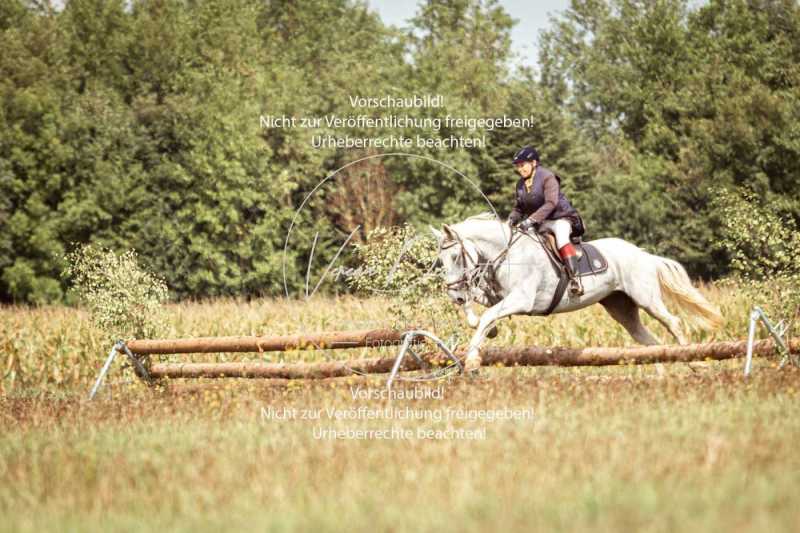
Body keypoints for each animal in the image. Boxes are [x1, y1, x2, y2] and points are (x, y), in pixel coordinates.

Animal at [432, 214, 724, 372]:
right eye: (441, 260)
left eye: (456, 256)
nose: (454, 296)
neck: (509, 253)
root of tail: (644, 254)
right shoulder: (499, 296)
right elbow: (480, 313)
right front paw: (485, 329)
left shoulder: (521, 299)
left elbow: (487, 315)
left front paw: (472, 360)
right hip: (621, 308)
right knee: (649, 341)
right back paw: (665, 367)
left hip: (647, 299)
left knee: (673, 323)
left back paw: (695, 362)